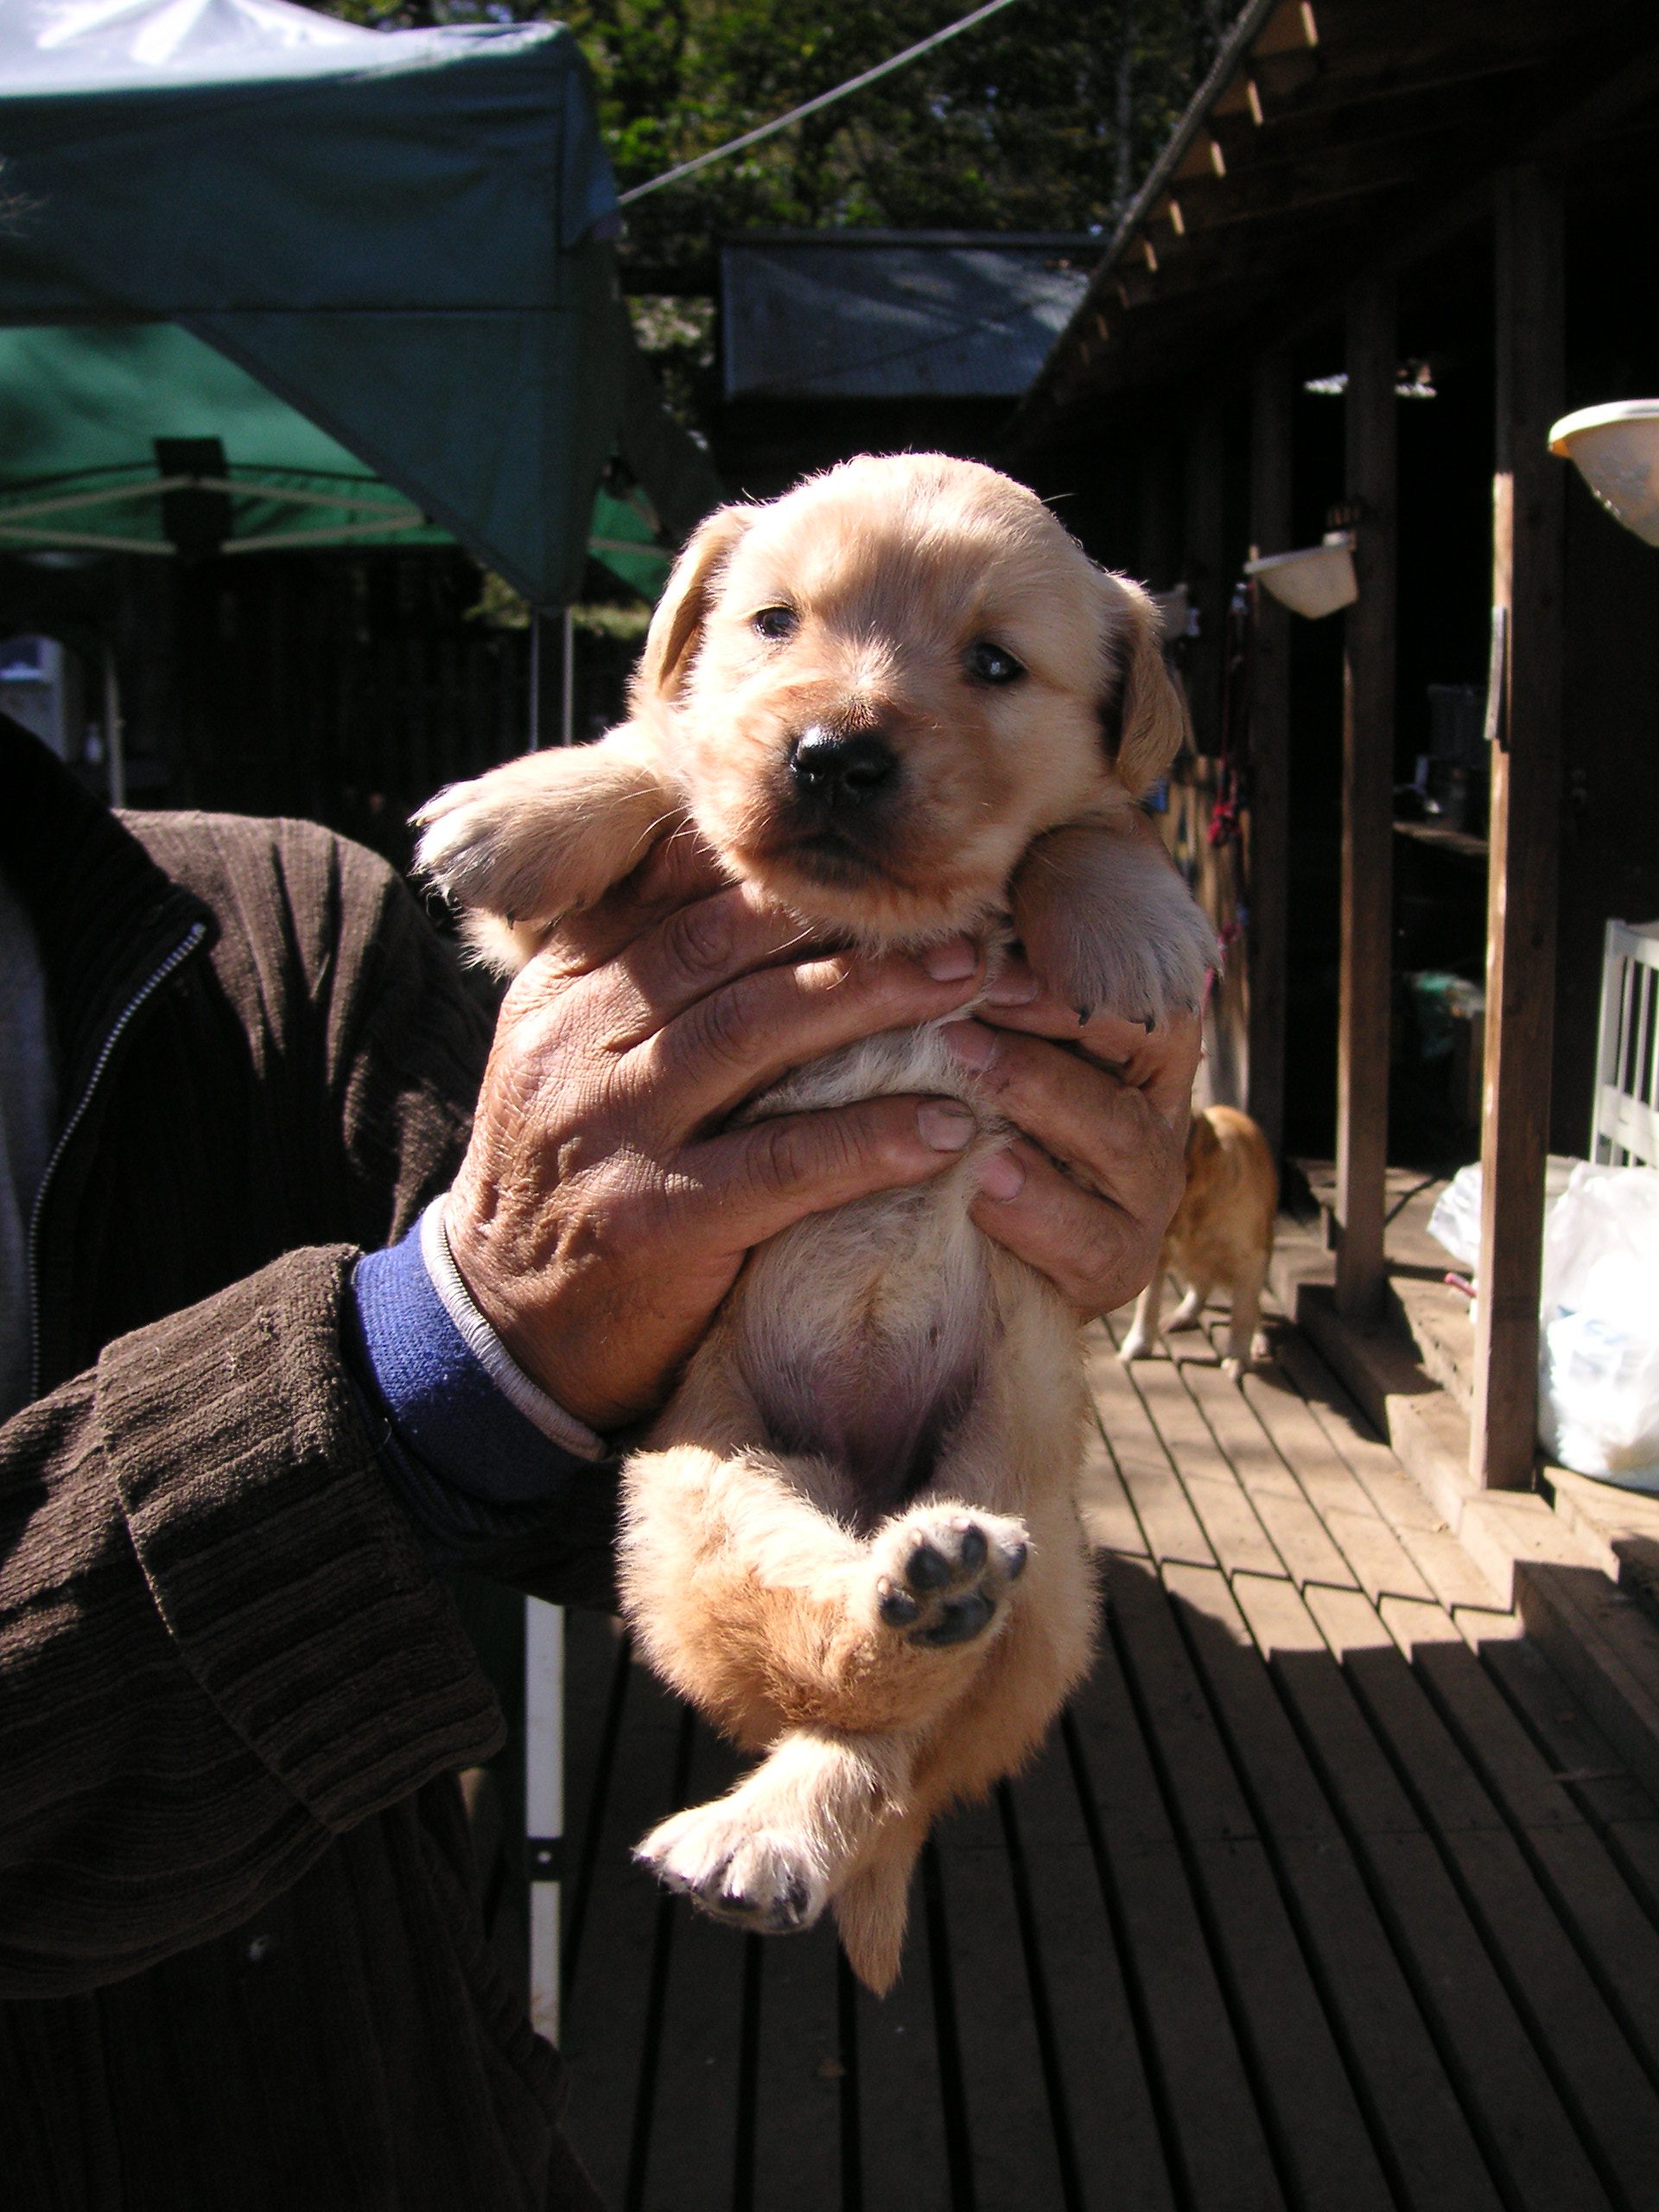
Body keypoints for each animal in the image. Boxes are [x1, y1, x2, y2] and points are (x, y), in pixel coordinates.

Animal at [417, 448, 1221, 1991]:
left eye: (993, 663)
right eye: (776, 623)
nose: (835, 753)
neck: (885, 926)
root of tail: (872, 1487)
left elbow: (1093, 824)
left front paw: (1128, 919)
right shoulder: (551, 947)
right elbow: (666, 757)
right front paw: (524, 808)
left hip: (1042, 1552)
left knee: (901, 1747)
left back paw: (815, 1770)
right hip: (698, 1494)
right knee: (827, 1662)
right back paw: (870, 1649)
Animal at [1123, 1106, 1282, 1380]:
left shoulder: (1249, 1258)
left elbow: (1243, 1313)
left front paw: (1237, 1357)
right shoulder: (1159, 1255)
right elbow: (1148, 1303)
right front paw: (1138, 1343)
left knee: (1254, 1306)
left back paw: (1257, 1340)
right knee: (1200, 1288)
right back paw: (1182, 1316)